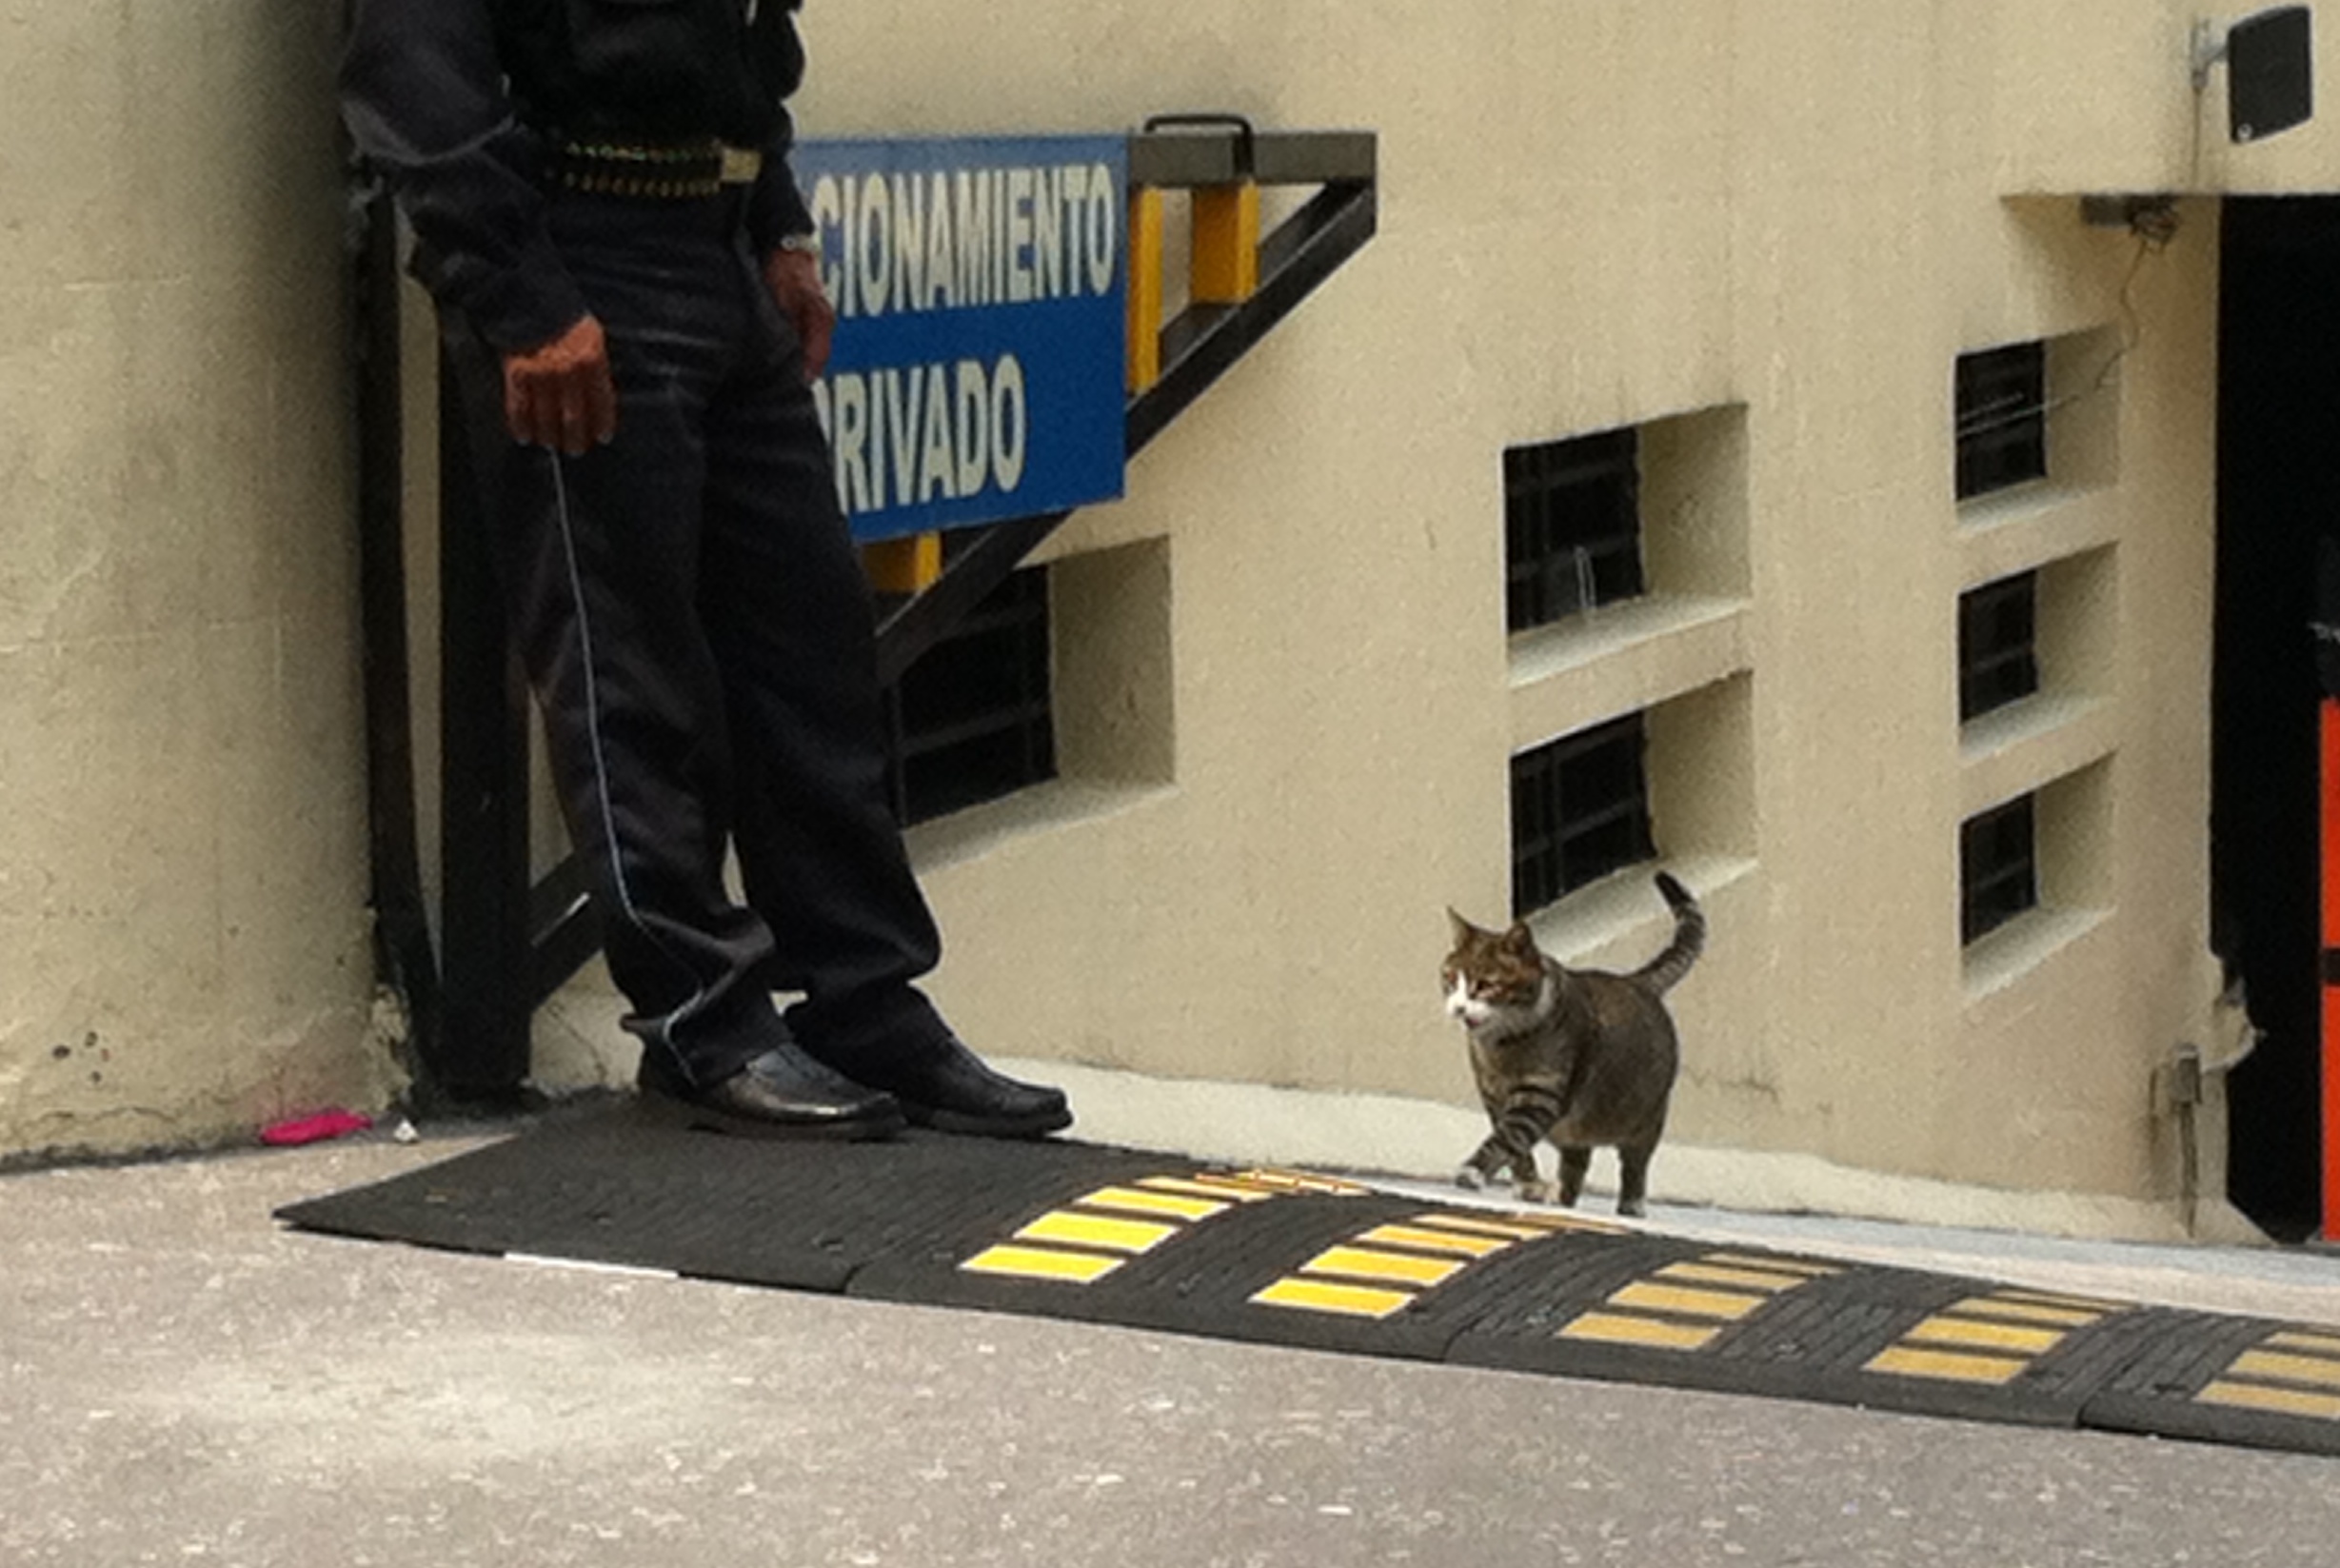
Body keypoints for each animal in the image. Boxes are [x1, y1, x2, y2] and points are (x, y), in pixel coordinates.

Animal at [1432, 880, 1713, 1226]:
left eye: (1485, 985)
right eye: (1449, 979)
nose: (1458, 1007)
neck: (1504, 1046)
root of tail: (1636, 981)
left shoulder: (1538, 1096)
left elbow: (1507, 1138)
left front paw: (1473, 1171)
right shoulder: (1493, 1096)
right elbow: (1516, 1149)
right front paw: (1528, 1186)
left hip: (1647, 1117)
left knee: (1635, 1162)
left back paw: (1631, 1204)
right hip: (1581, 1125)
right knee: (1578, 1159)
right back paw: (1563, 1199)